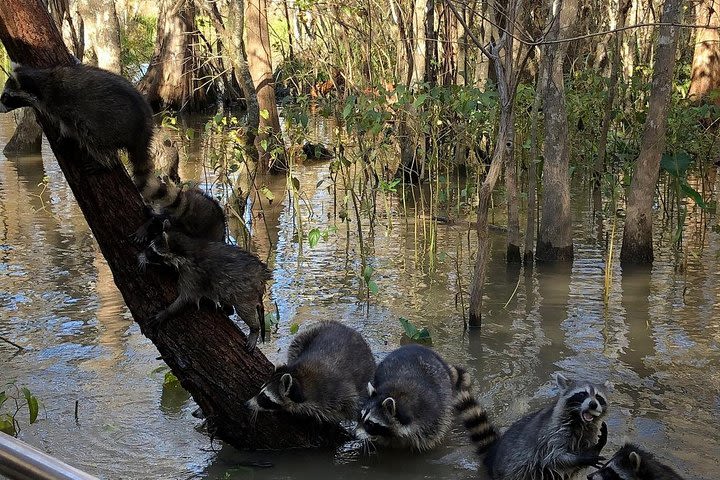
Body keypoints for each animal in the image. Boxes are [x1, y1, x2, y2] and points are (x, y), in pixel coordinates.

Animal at [0, 62, 156, 191]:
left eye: (5, 96)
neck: (41, 80)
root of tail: (144, 126)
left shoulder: (62, 105)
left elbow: (68, 125)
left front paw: (65, 135)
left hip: (111, 122)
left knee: (93, 138)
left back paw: (105, 162)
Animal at [245, 322, 374, 424]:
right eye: (260, 389)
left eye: (264, 397)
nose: (247, 404)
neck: (299, 377)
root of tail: (348, 329)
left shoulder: (342, 395)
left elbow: (356, 408)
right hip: (310, 332)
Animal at [356, 344, 496, 452]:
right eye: (360, 416)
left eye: (370, 423)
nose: (354, 434)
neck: (394, 393)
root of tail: (416, 345)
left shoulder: (432, 417)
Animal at [480, 376, 612, 480]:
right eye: (582, 394)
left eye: (598, 397)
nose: (593, 404)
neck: (580, 422)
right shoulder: (553, 433)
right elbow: (552, 458)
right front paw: (584, 457)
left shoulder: (589, 434)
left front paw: (595, 448)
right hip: (510, 470)